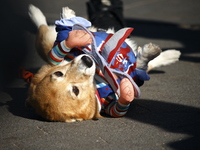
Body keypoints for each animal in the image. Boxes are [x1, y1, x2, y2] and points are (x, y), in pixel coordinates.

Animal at [25, 3, 180, 122]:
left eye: (59, 73)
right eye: (75, 90)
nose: (87, 60)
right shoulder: (111, 103)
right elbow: (141, 66)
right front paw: (127, 91)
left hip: (51, 43)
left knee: (54, 30)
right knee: (44, 28)